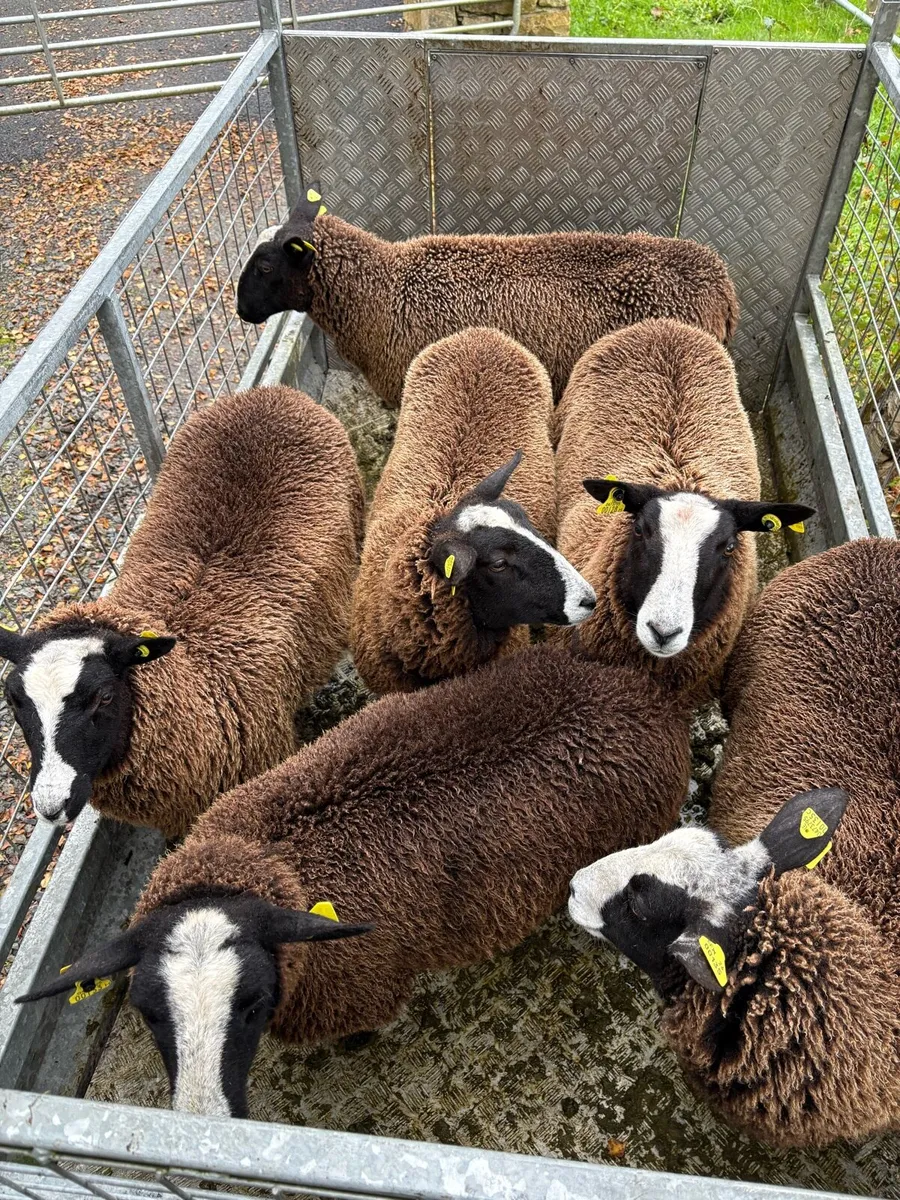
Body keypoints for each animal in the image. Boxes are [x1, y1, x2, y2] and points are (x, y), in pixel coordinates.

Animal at [18, 644, 692, 1118]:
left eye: (253, 1002)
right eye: (149, 1012)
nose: (205, 1118)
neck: (276, 857)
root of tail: (644, 693)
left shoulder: (358, 987)